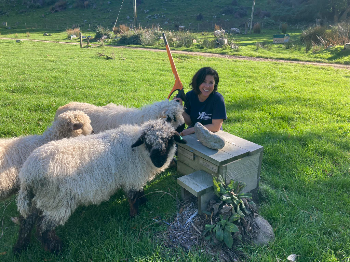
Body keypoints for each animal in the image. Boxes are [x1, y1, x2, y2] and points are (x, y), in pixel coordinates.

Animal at [13, 118, 186, 254]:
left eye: (169, 141)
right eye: (148, 143)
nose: (159, 162)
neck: (138, 152)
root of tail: (28, 174)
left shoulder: (136, 178)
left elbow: (139, 192)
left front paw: (144, 203)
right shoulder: (131, 177)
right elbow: (132, 198)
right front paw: (135, 216)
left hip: (40, 200)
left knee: (26, 221)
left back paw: (20, 247)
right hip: (56, 202)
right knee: (43, 229)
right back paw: (57, 249)